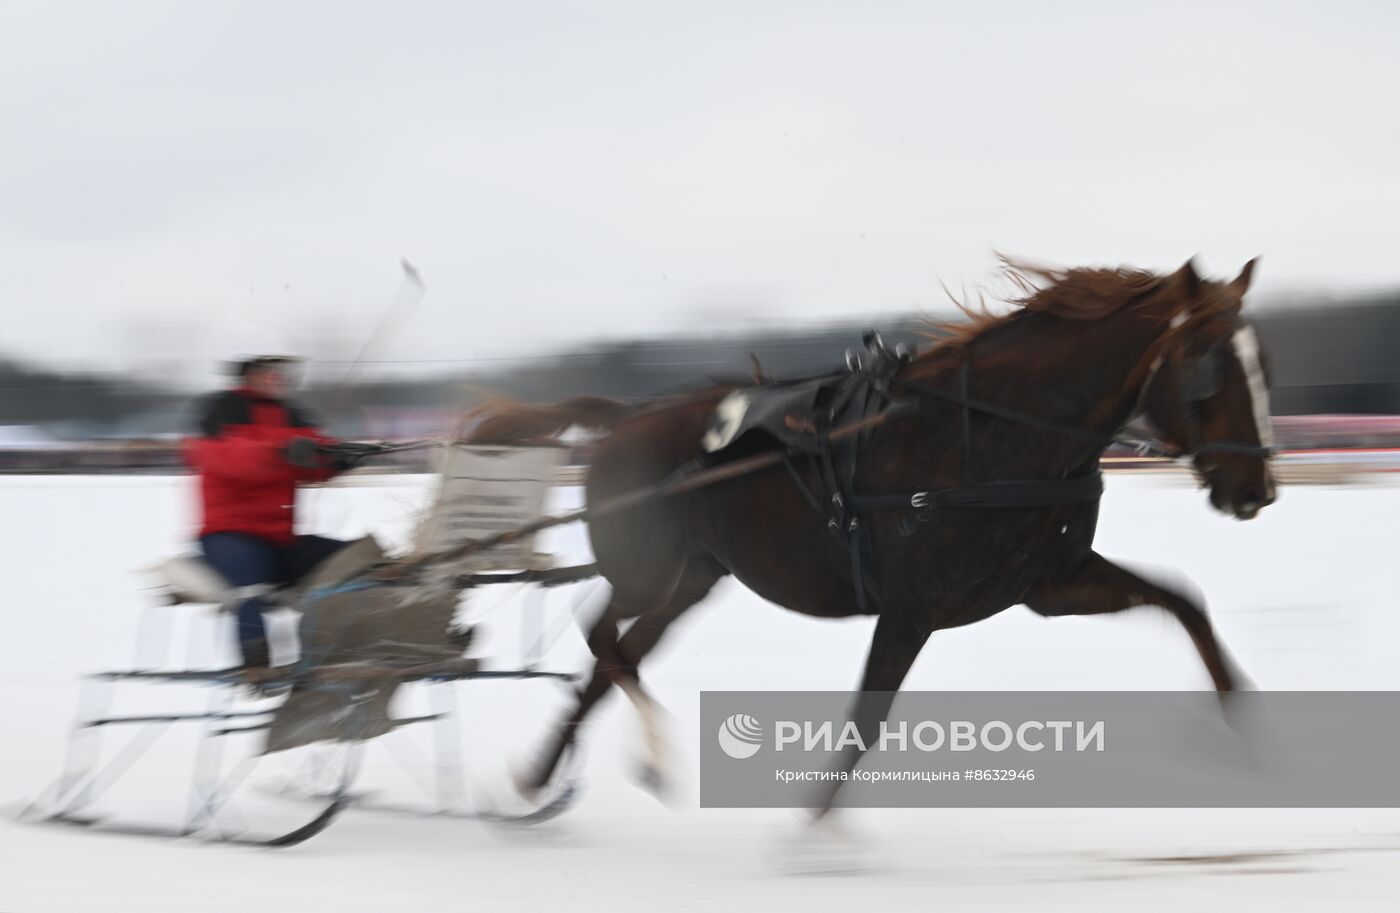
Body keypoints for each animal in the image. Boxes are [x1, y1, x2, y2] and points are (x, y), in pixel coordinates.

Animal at [473, 256, 1282, 812]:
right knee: (602, 641)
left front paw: (1243, 717)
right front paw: (815, 825)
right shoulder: (912, 605)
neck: (985, 436)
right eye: (1211, 367)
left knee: (615, 658)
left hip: (692, 577)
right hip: (648, 571)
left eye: (1261, 364)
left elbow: (1183, 603)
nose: (1257, 489)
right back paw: (643, 753)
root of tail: (623, 418)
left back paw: (542, 775)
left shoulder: (1049, 580)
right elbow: (867, 714)